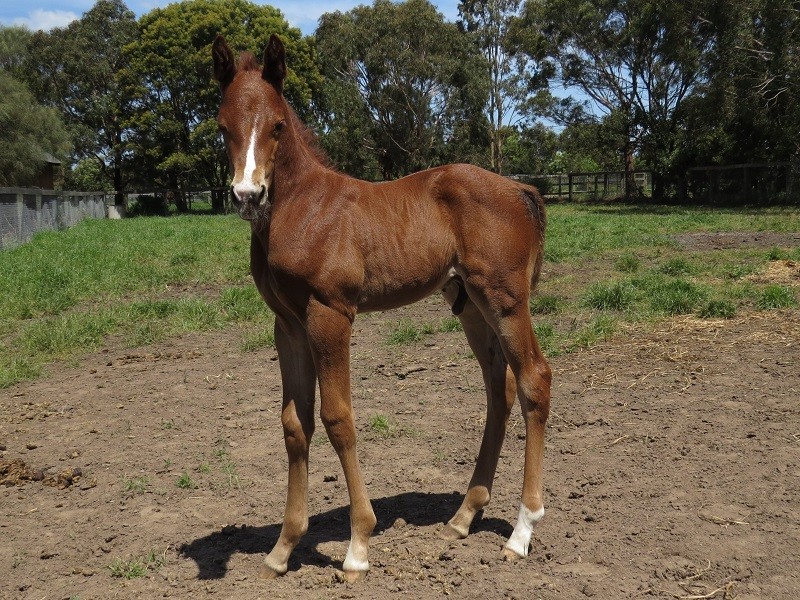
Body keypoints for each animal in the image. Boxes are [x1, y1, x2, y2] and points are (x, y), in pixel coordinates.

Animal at [212, 34, 552, 582]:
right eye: (223, 126)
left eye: (278, 125)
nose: (248, 194)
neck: (303, 207)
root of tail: (521, 188)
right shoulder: (288, 324)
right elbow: (295, 424)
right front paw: (283, 549)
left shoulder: (329, 314)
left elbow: (337, 419)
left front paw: (358, 546)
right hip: (469, 303)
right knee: (497, 392)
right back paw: (463, 516)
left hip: (505, 299)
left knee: (533, 380)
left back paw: (521, 533)